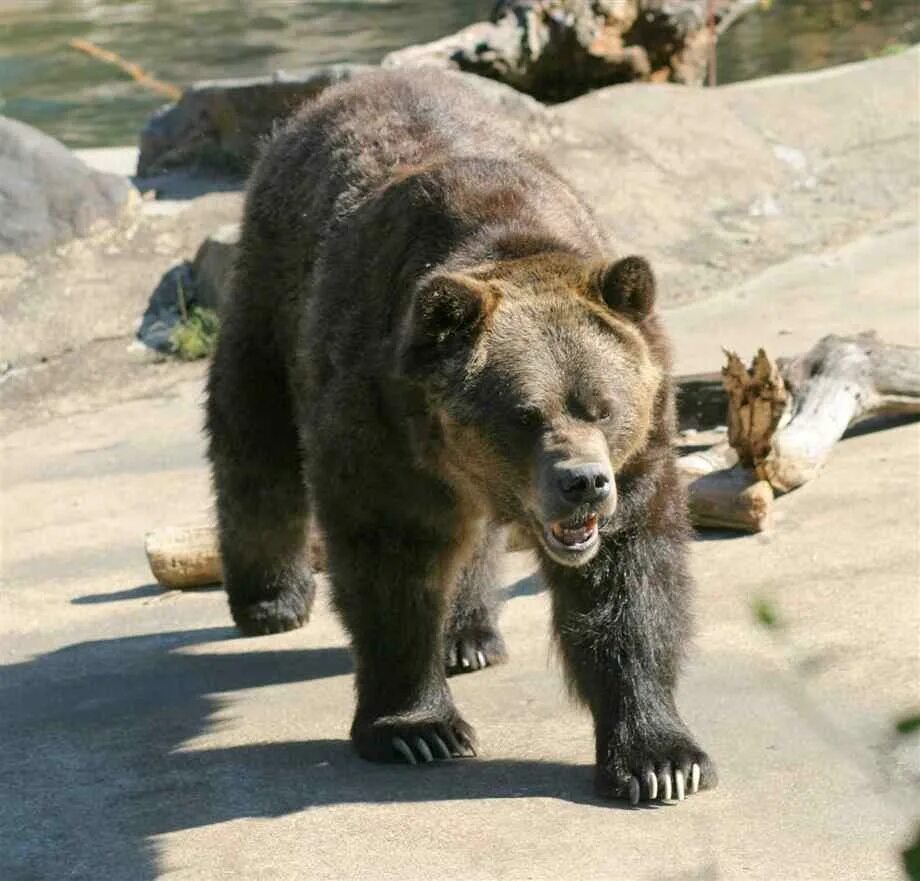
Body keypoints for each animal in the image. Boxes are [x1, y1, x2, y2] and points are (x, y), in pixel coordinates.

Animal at [205, 69, 716, 804]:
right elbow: (392, 564)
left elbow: (629, 581)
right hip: (272, 289)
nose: (584, 484)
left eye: (602, 407)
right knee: (254, 438)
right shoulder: (381, 425)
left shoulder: (641, 452)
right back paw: (271, 599)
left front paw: (660, 759)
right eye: (525, 414)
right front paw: (416, 728)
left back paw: (469, 634)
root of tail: (349, 86)